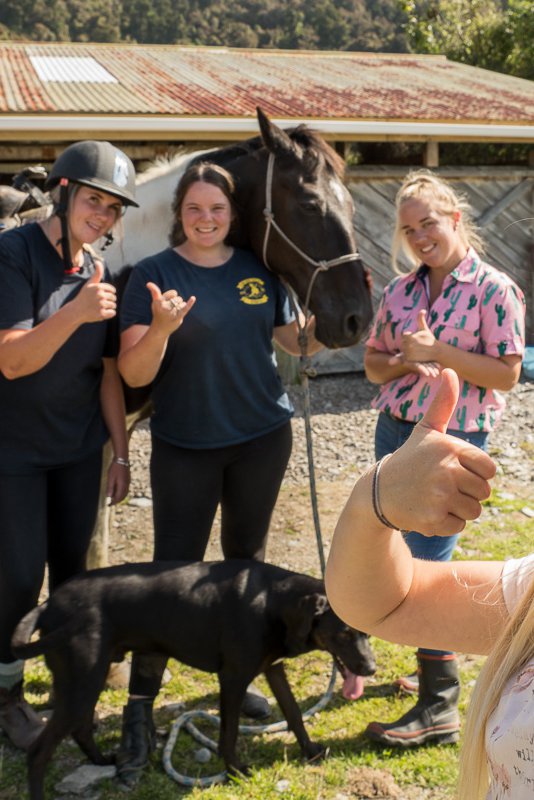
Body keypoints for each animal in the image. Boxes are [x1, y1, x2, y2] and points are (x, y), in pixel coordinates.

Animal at [9, 560, 376, 796]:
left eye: (365, 632)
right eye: (343, 633)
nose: (371, 669)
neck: (273, 600)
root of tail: (48, 604)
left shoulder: (273, 668)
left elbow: (294, 714)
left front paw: (310, 750)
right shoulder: (232, 678)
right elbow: (229, 733)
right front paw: (235, 770)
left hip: (85, 681)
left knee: (82, 727)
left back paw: (103, 761)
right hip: (82, 681)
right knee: (39, 751)